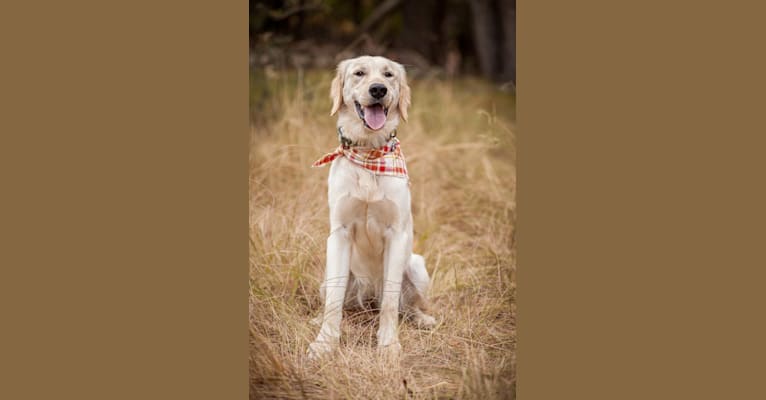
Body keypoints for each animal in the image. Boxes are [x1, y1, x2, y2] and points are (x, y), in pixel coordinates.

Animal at [308, 54, 438, 358]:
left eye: (389, 75)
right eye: (359, 73)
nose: (378, 89)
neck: (368, 150)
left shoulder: (397, 234)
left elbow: (390, 303)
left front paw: (388, 346)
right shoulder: (339, 234)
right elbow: (334, 302)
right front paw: (325, 343)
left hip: (417, 266)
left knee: (406, 306)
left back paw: (422, 319)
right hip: (329, 276)